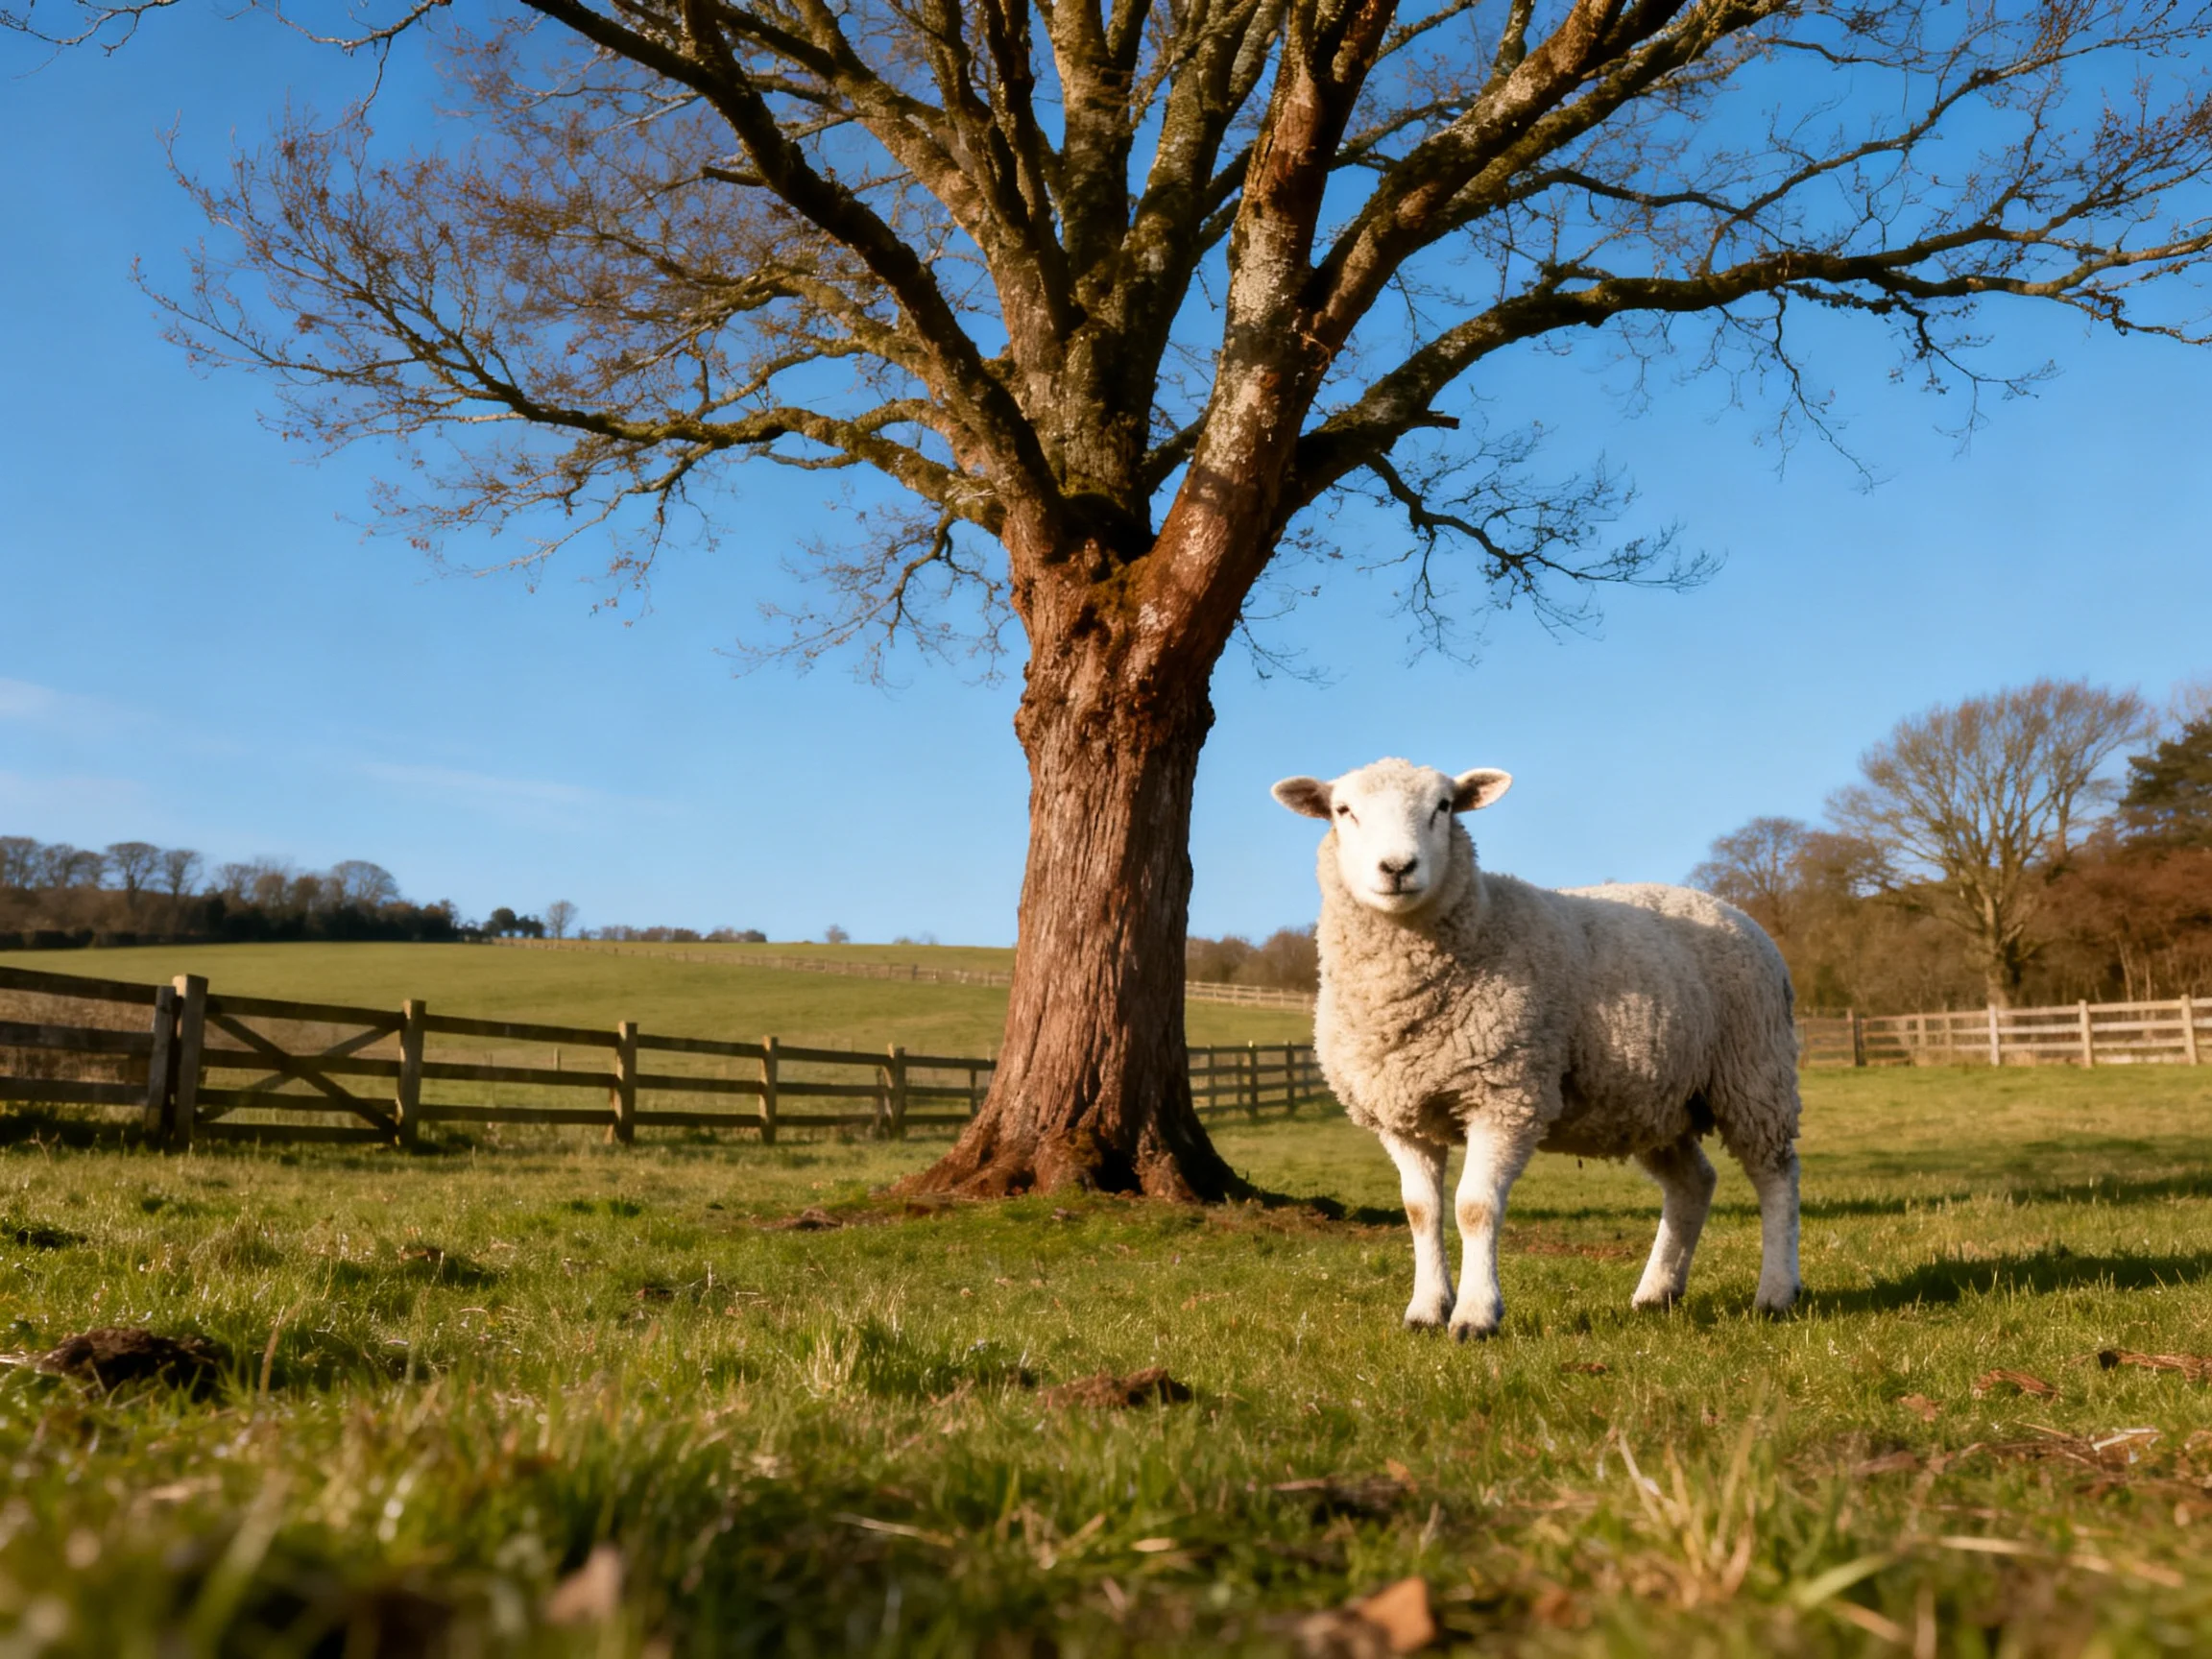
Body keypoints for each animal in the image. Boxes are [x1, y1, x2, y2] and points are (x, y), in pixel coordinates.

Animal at [1272, 757, 1801, 1339]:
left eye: (1444, 807)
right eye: (1343, 810)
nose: (1397, 867)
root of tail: (1726, 907)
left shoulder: (1505, 1094)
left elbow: (1474, 1207)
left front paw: (1475, 1316)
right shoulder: (1401, 1116)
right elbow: (1420, 1211)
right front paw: (1426, 1310)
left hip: (1754, 1070)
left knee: (1776, 1176)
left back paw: (1776, 1292)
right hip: (1655, 1100)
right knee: (1693, 1183)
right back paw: (1656, 1292)